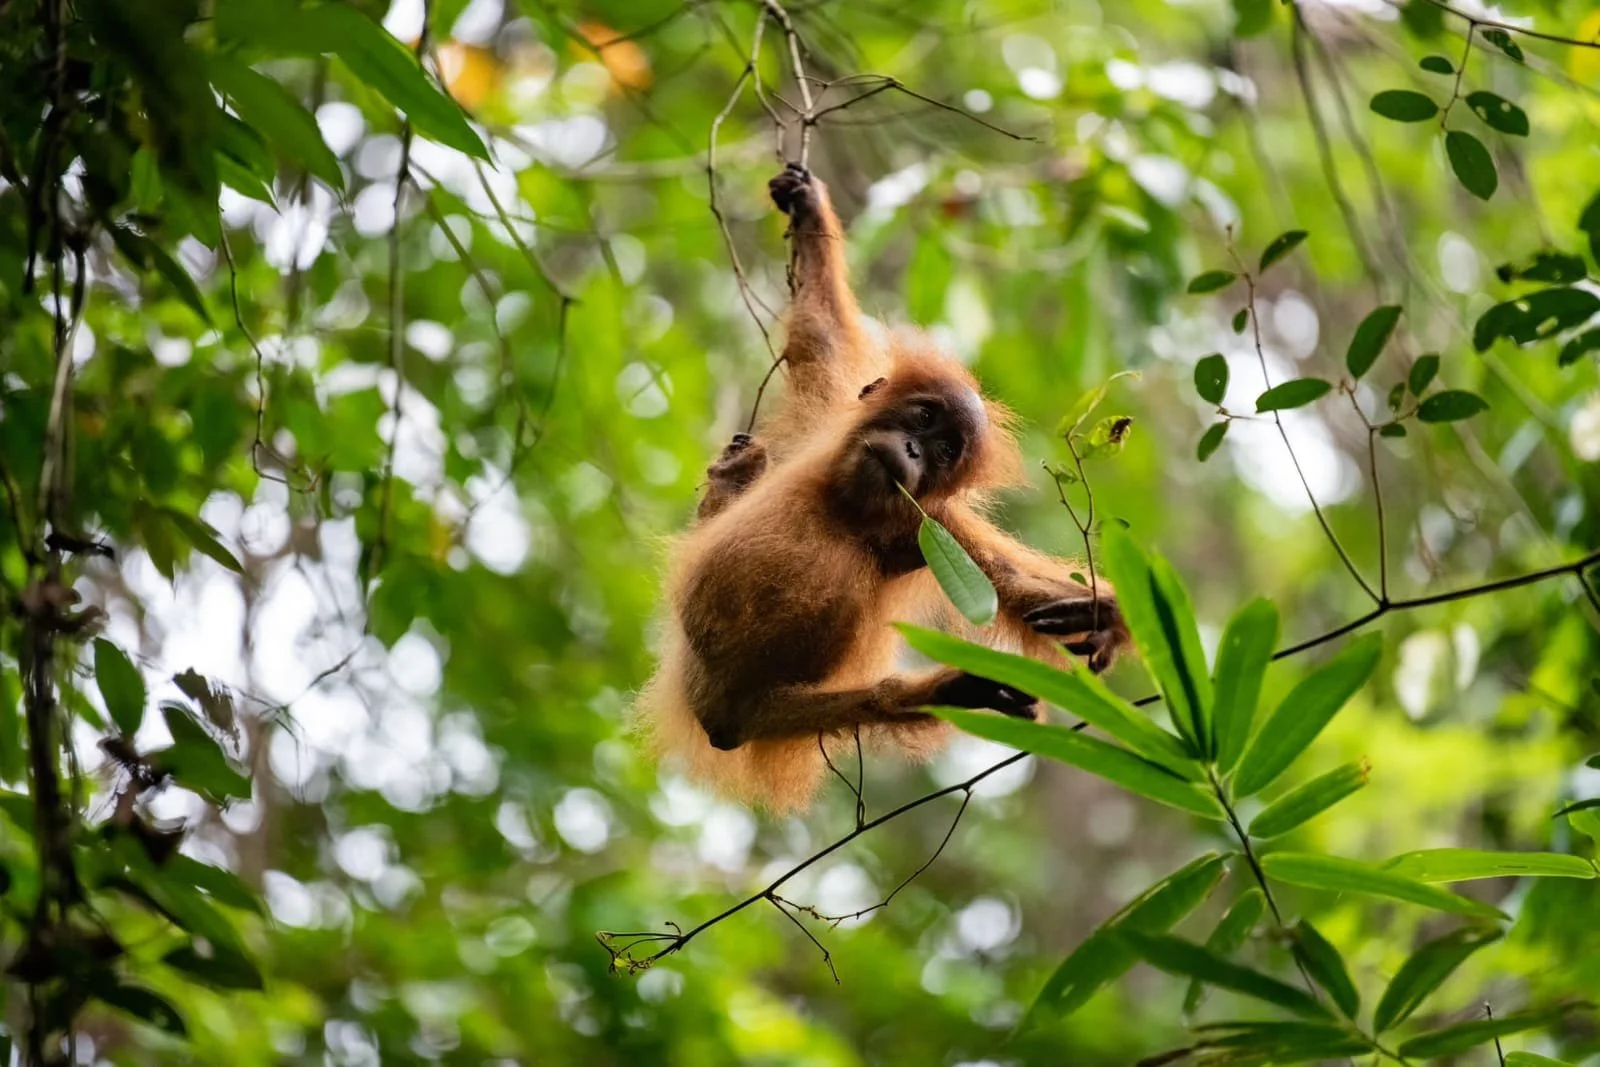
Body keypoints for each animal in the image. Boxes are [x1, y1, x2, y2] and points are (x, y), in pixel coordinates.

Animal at [637, 163, 1129, 813]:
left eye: (945, 452)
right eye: (922, 418)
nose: (916, 451)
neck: (841, 505)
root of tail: (711, 716)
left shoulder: (931, 525)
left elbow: (1010, 584)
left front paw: (1106, 619)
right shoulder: (831, 417)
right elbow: (819, 338)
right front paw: (809, 210)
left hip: (762, 714)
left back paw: (944, 692)